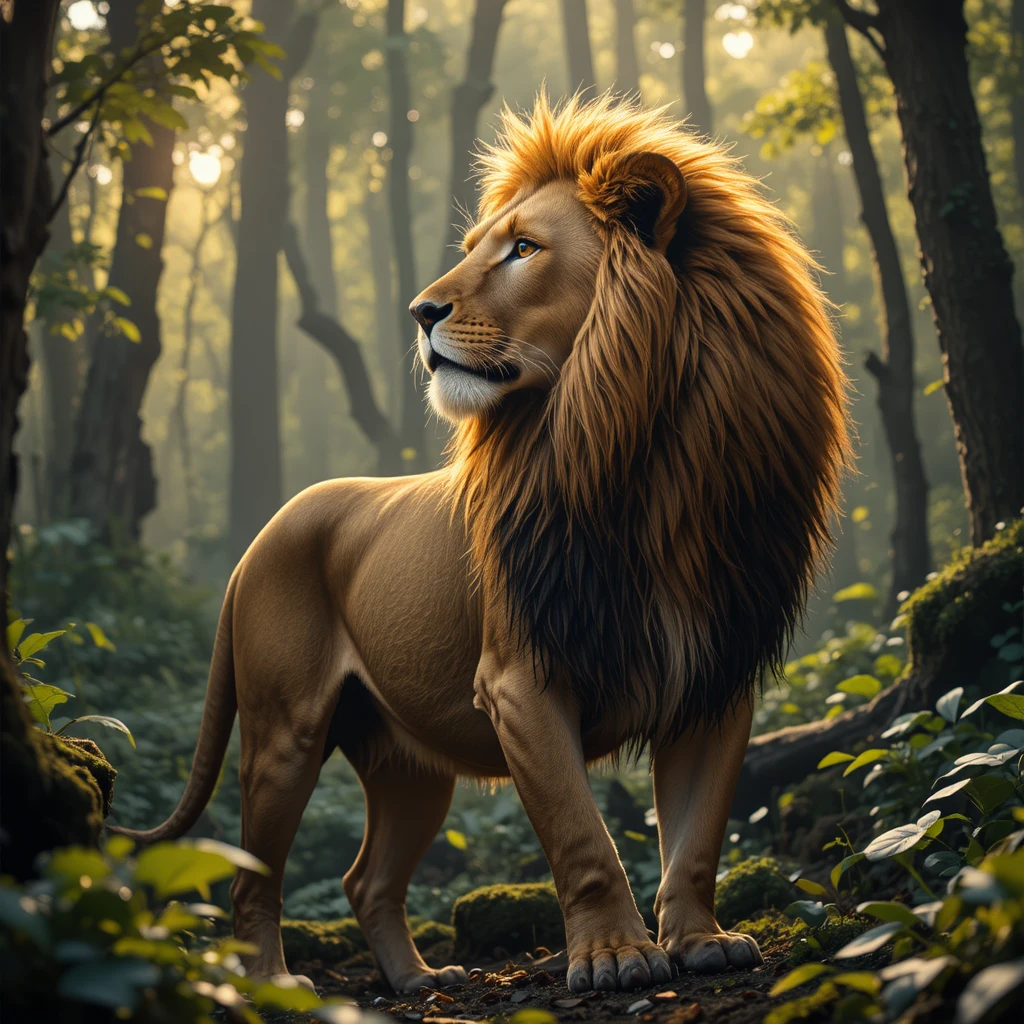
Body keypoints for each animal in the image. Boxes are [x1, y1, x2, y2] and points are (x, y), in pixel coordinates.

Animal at [113, 94, 849, 995]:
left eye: (524, 249)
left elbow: (697, 839)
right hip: (284, 734)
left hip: (410, 766)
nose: (420, 312)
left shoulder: (715, 675)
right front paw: (616, 956)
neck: (648, 454)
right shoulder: (519, 680)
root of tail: (260, 539)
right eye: (473, 252)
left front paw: (701, 940)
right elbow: (582, 836)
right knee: (253, 880)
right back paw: (273, 984)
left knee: (367, 878)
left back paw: (419, 981)